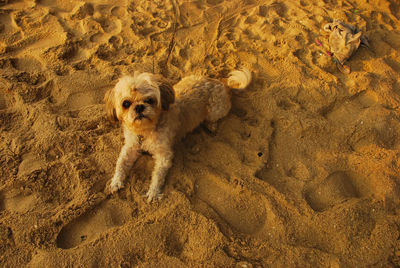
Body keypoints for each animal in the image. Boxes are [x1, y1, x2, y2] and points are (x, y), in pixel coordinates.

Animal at [104, 68, 252, 202]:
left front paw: (153, 192)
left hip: (214, 111)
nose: (139, 107)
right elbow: (121, 163)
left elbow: (158, 175)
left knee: (215, 118)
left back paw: (212, 126)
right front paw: (115, 181)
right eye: (126, 103)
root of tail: (221, 83)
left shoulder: (164, 155)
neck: (146, 130)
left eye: (150, 100)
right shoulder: (130, 147)